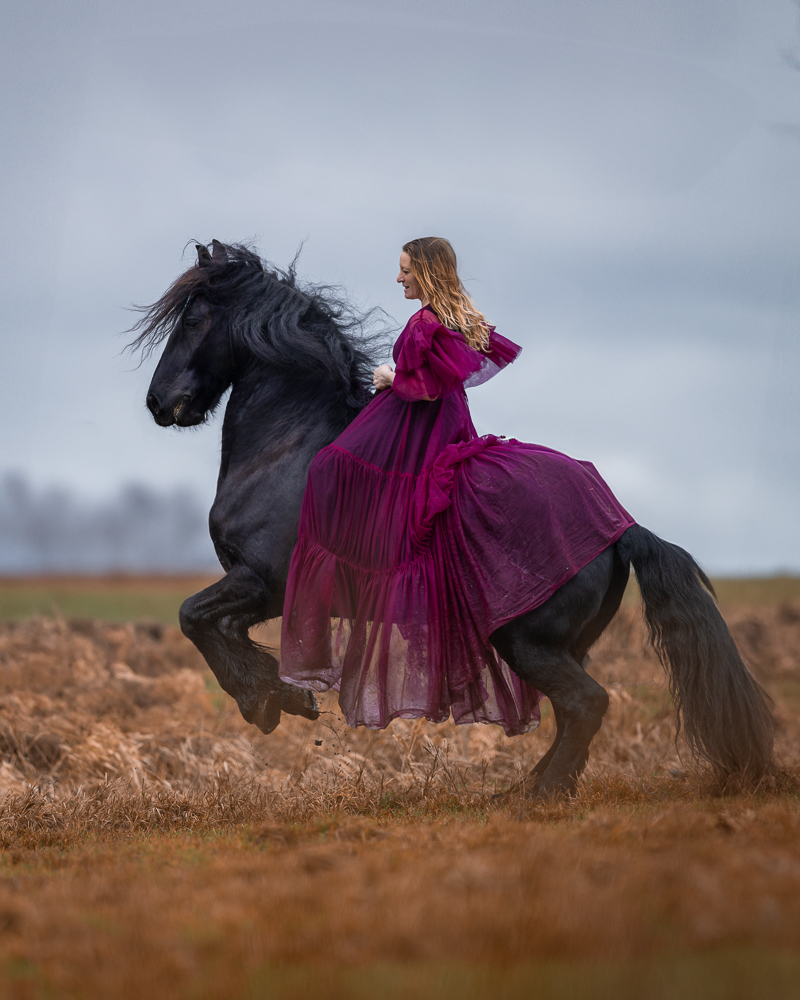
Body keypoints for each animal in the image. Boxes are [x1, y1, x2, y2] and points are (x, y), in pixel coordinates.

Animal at [130, 240, 774, 797]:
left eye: (194, 319)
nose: (159, 402)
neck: (289, 448)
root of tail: (622, 528)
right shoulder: (262, 589)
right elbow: (213, 626)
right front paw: (279, 696)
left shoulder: (266, 582)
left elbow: (194, 618)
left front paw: (268, 700)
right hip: (563, 642)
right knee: (575, 710)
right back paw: (528, 787)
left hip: (524, 638)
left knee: (587, 704)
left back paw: (538, 794)